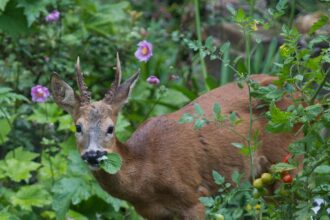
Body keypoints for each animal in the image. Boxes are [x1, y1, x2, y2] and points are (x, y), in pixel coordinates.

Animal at [51, 54, 300, 219]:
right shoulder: (152, 214)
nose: (93, 155)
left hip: (289, 157)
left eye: (110, 128)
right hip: (265, 177)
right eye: (78, 127)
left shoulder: (194, 198)